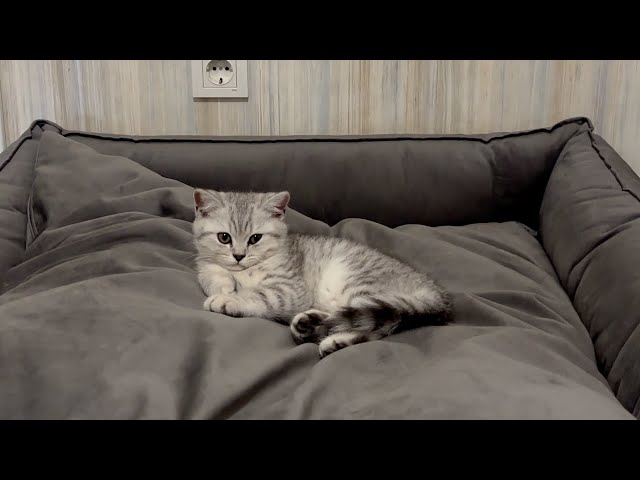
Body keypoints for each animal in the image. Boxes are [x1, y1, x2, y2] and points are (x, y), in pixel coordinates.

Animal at [192, 189, 452, 358]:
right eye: (224, 237)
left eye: (255, 238)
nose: (239, 255)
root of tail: (434, 292)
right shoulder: (207, 264)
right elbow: (211, 271)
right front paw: (223, 285)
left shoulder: (290, 290)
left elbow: (260, 296)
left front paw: (228, 299)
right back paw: (313, 325)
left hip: (359, 282)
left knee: (380, 325)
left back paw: (332, 338)